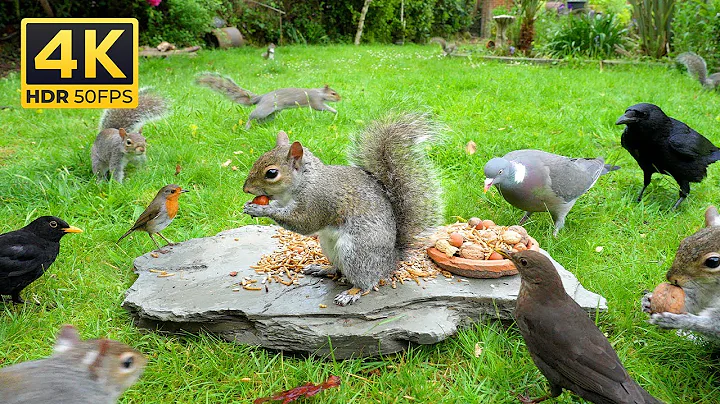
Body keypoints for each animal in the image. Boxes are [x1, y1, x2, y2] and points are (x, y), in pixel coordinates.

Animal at [195, 73, 341, 129]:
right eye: (333, 93)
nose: (340, 98)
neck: (319, 92)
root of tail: (261, 97)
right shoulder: (315, 101)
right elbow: (322, 107)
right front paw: (335, 111)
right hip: (264, 110)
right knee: (252, 116)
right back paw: (247, 126)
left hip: (273, 112)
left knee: (260, 120)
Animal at [242, 114, 443, 305]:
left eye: (271, 173)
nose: (245, 189)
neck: (305, 181)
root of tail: (390, 261)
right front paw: (251, 206)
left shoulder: (318, 201)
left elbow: (304, 223)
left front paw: (261, 210)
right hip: (328, 246)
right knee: (339, 269)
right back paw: (323, 268)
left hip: (356, 252)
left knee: (366, 282)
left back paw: (351, 293)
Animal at [642, 206, 720, 340]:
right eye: (683, 242)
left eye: (713, 262)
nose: (670, 277)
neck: (715, 288)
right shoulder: (703, 291)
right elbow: (692, 301)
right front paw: (648, 300)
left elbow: (713, 326)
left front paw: (675, 321)